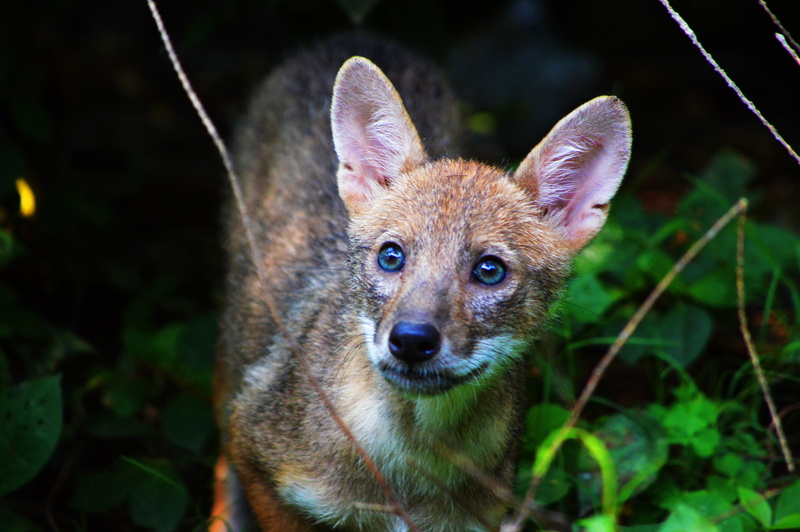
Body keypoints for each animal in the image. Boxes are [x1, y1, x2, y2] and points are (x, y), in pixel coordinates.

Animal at [213, 34, 632, 532]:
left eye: (489, 270)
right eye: (391, 257)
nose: (411, 340)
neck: (407, 472)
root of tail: (354, 35)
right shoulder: (255, 448)